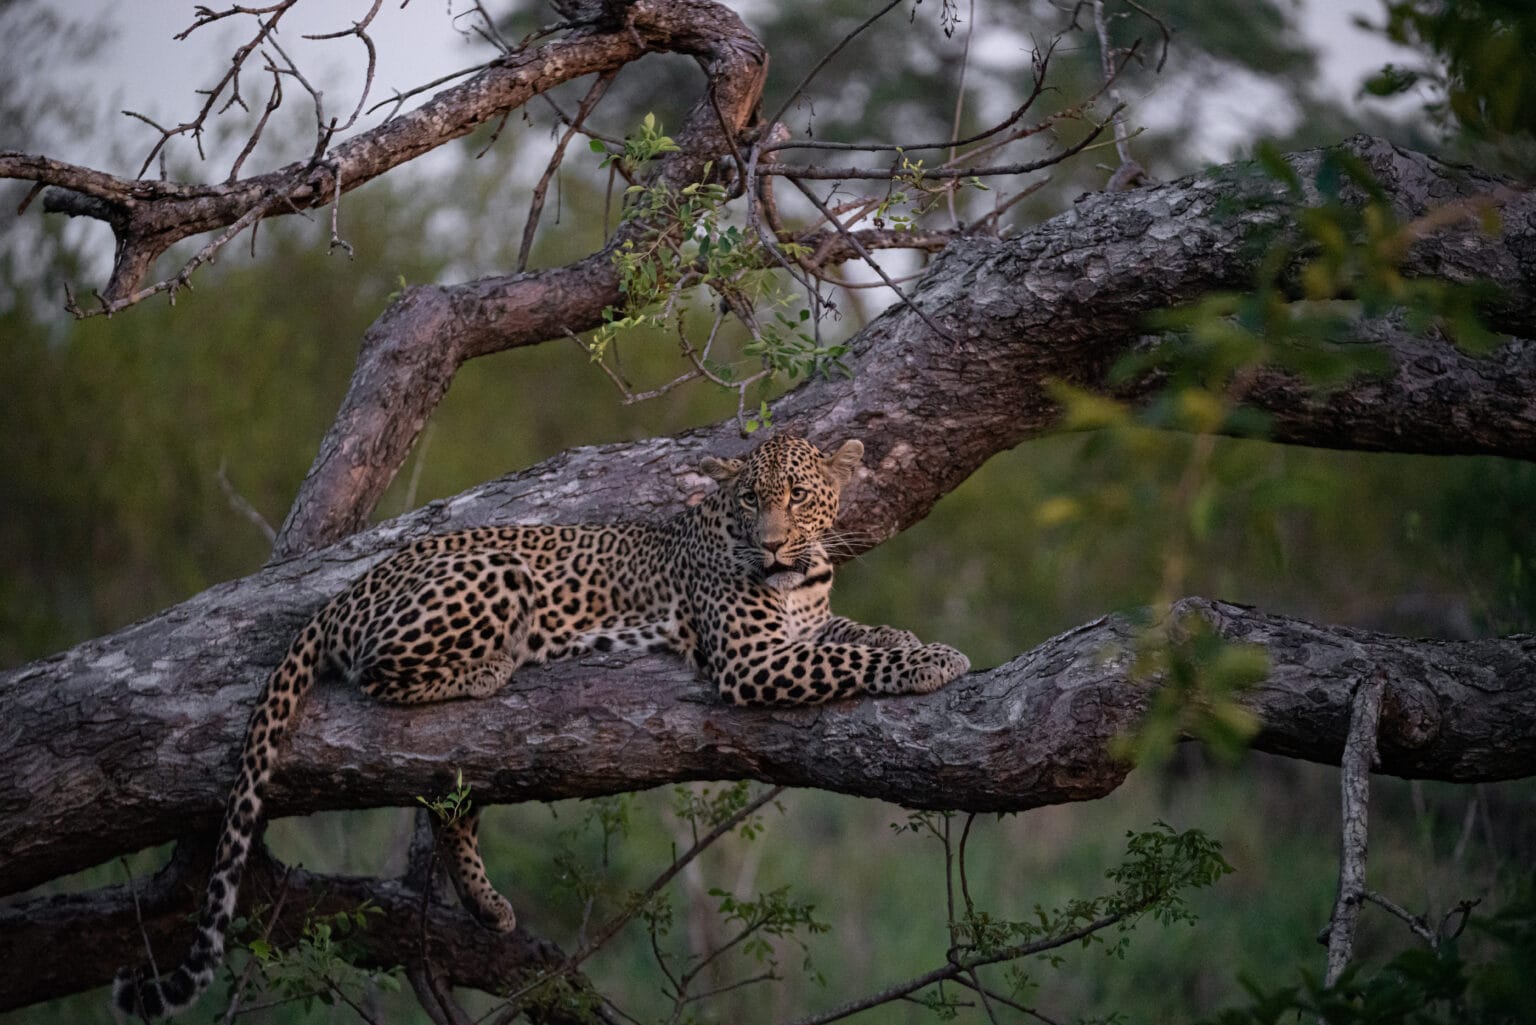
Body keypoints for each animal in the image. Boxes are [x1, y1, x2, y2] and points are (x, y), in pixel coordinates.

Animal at [112, 434, 970, 1020]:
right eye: (749, 501)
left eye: (797, 494)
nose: (772, 543)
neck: (800, 576)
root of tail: (349, 587)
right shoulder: (752, 659)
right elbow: (850, 661)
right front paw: (934, 662)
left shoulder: (805, 628)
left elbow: (860, 634)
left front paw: (918, 640)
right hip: (494, 575)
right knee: (384, 674)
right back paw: (494, 665)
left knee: (449, 805)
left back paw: (489, 906)